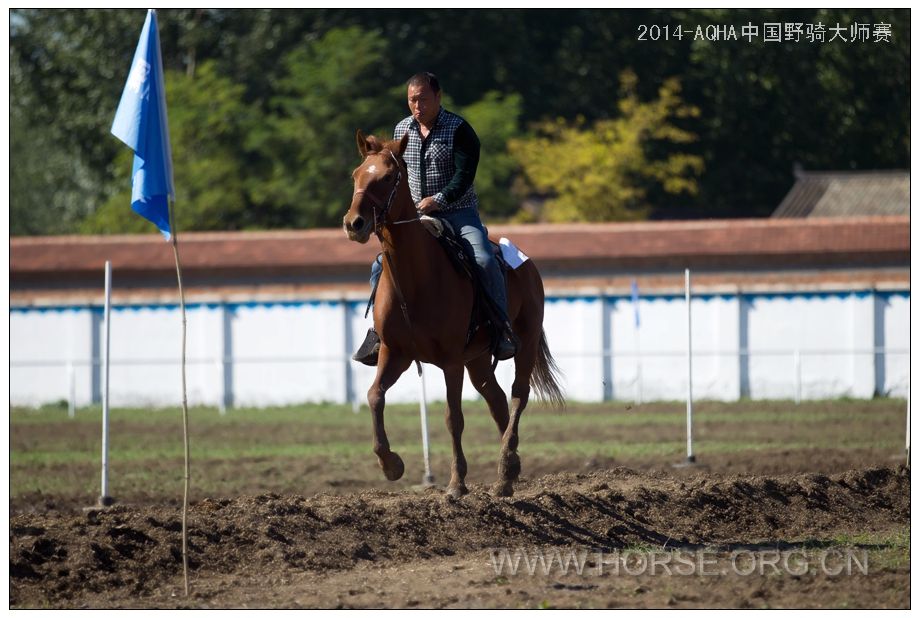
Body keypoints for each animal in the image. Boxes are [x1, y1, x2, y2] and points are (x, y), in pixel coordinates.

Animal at [344, 130, 564, 496]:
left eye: (388, 177)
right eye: (356, 175)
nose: (354, 223)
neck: (416, 279)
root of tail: (525, 262)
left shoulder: (450, 360)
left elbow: (453, 418)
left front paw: (457, 483)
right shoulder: (395, 352)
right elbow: (375, 396)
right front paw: (391, 464)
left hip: (526, 340)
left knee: (518, 395)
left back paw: (506, 467)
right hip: (477, 359)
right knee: (497, 400)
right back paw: (508, 471)